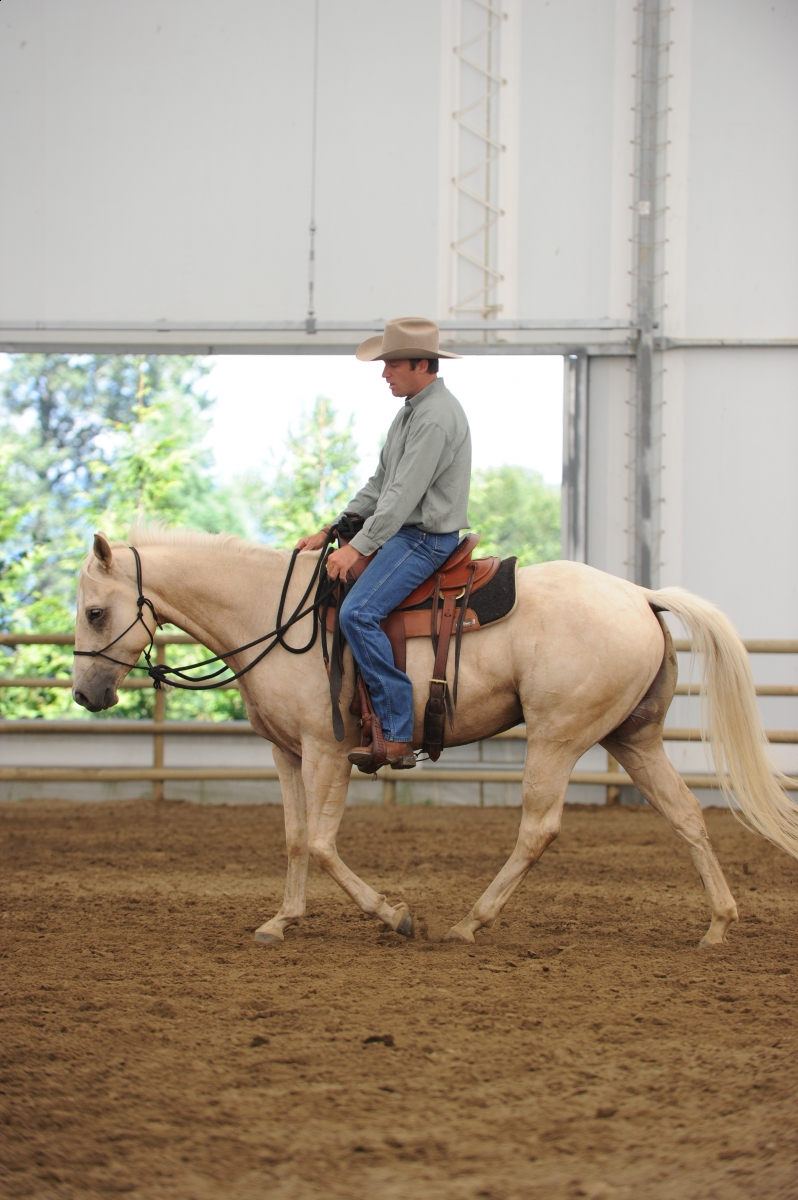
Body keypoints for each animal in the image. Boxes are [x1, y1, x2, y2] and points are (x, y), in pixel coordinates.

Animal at [72, 526, 798, 949]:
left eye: (96, 611)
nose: (84, 693)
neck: (277, 620)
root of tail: (641, 595)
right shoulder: (286, 752)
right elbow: (295, 839)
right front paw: (283, 920)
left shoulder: (328, 751)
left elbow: (322, 842)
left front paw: (394, 914)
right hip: (631, 738)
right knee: (686, 814)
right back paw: (718, 925)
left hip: (558, 737)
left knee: (539, 828)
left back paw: (470, 922)